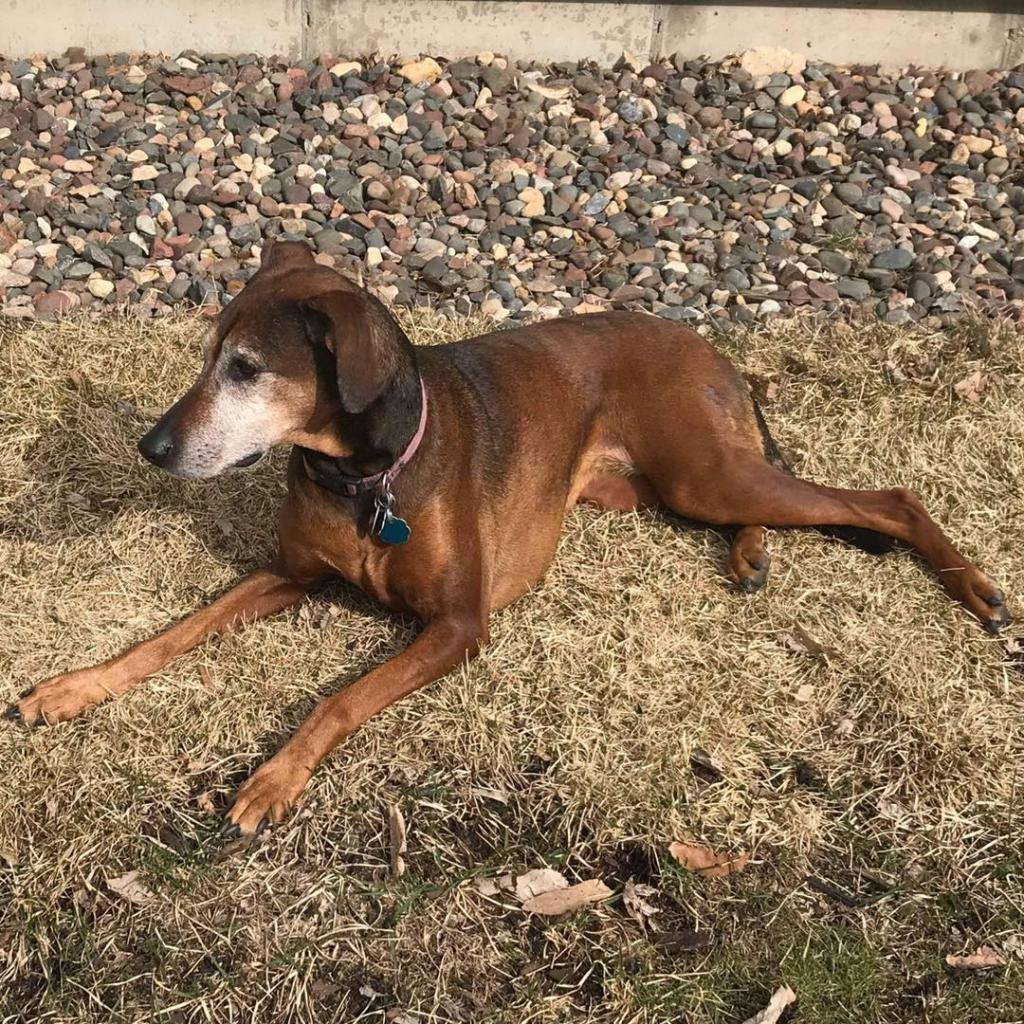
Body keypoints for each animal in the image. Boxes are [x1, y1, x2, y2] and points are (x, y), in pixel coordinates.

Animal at [6, 243, 1007, 835]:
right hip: (662, 490)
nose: (152, 447)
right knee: (767, 508)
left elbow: (338, 701)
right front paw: (73, 688)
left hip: (703, 471)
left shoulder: (458, 626)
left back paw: (975, 586)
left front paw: (272, 779)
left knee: (886, 498)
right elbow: (169, 635)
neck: (367, 476)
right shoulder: (284, 574)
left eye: (246, 368)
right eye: (206, 357)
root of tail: (711, 349)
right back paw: (752, 554)